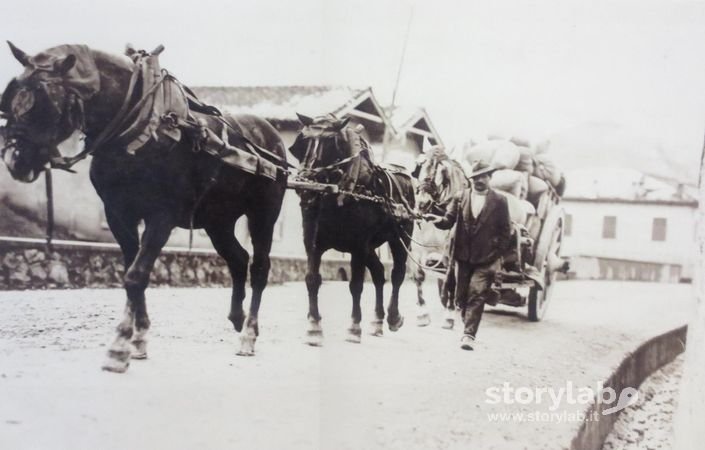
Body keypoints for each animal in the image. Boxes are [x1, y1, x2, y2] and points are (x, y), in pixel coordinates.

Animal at [0, 43, 286, 372]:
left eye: (44, 102)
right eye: (12, 97)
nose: (13, 159)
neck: (140, 126)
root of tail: (271, 137)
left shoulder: (161, 217)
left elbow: (136, 275)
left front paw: (120, 344)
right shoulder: (118, 215)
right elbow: (130, 271)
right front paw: (138, 339)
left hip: (264, 214)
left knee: (260, 267)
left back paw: (249, 334)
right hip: (218, 221)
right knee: (238, 259)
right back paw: (237, 318)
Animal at [288, 113, 416, 344]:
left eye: (330, 142)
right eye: (302, 142)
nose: (306, 183)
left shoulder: (358, 246)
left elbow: (356, 285)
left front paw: (354, 327)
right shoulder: (312, 242)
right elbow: (312, 279)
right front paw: (314, 327)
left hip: (401, 236)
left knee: (397, 274)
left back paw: (393, 317)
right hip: (370, 247)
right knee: (379, 273)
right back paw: (377, 321)